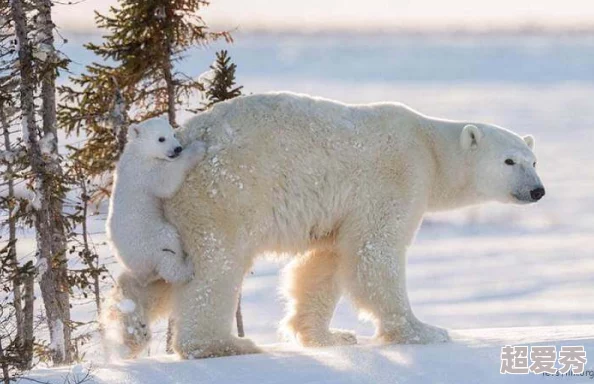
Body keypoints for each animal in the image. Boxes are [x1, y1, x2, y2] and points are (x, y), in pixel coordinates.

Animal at [151, 91, 540, 358]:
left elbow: (325, 262)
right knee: (217, 267)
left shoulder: (339, 212)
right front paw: (425, 331)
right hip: (223, 195)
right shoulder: (396, 177)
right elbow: (376, 252)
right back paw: (223, 344)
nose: (538, 190)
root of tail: (185, 135)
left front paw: (330, 336)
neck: (429, 147)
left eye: (534, 160)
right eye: (509, 161)